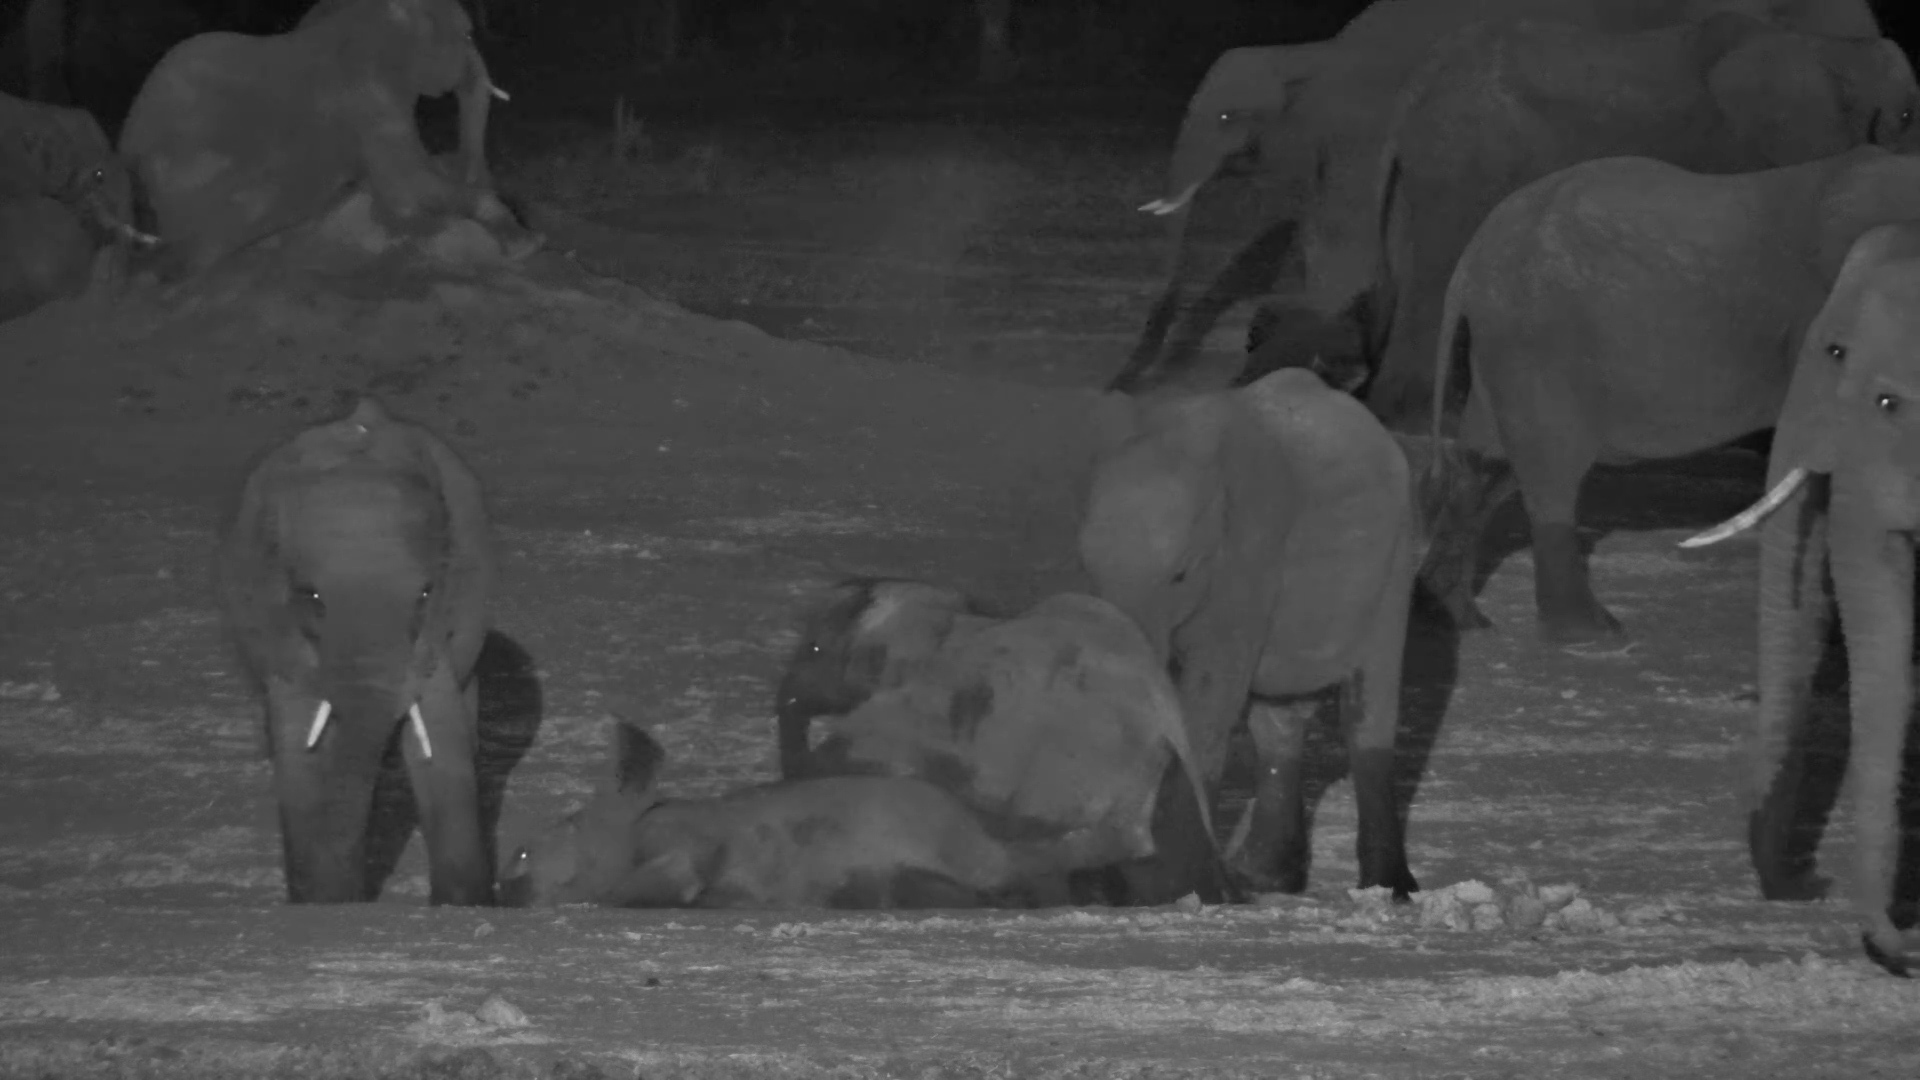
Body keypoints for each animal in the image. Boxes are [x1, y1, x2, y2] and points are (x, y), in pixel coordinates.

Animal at [117, 0, 516, 278]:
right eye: (467, 35)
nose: (479, 174)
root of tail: (126, 144)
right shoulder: (370, 96)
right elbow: (407, 186)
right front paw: (516, 232)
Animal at [217, 396, 496, 905]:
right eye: (312, 598)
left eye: (424, 595)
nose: (353, 895)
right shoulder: (277, 621)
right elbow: (297, 737)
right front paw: (319, 901)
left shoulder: (441, 618)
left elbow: (438, 727)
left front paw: (459, 905)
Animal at [1078, 367, 1420, 898]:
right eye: (1085, 563)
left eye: (1180, 574)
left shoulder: (1253, 554)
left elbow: (1209, 698)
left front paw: (1186, 893)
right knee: (1278, 722)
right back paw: (1267, 880)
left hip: (1395, 561)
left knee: (1368, 710)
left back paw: (1388, 890)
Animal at [1423, 146, 1920, 644]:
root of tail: (1473, 255)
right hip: (1535, 344)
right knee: (1551, 473)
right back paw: (1594, 637)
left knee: (1484, 467)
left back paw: (1462, 619)